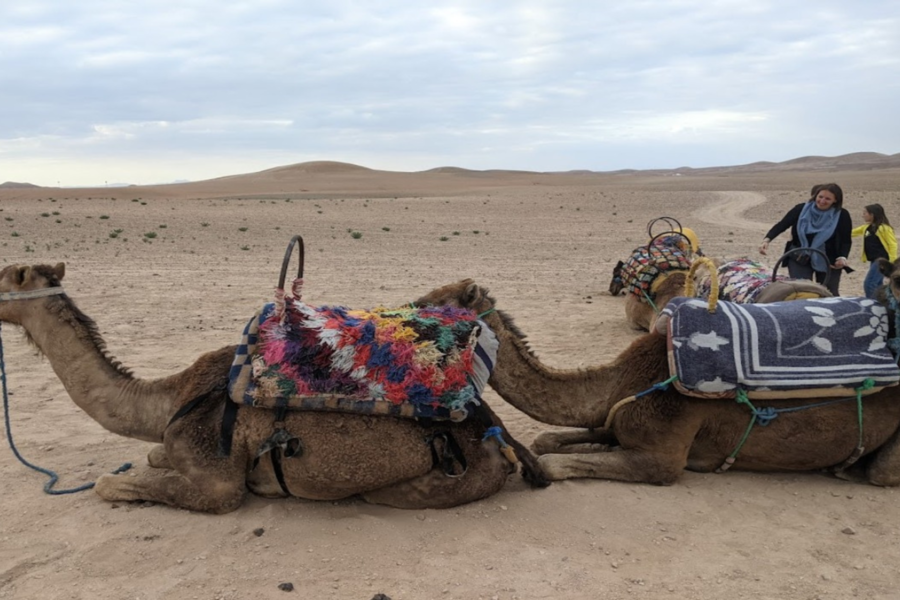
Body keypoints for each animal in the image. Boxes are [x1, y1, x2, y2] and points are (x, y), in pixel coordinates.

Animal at [0, 263, 548, 513]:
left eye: (6, 277)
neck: (169, 399)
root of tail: (495, 432)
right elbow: (152, 459)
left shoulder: (216, 480)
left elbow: (108, 484)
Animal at [415, 279, 900, 486]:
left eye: (434, 306)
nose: (404, 312)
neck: (624, 377)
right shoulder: (615, 417)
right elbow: (550, 440)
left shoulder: (663, 456)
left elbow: (552, 462)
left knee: (881, 473)